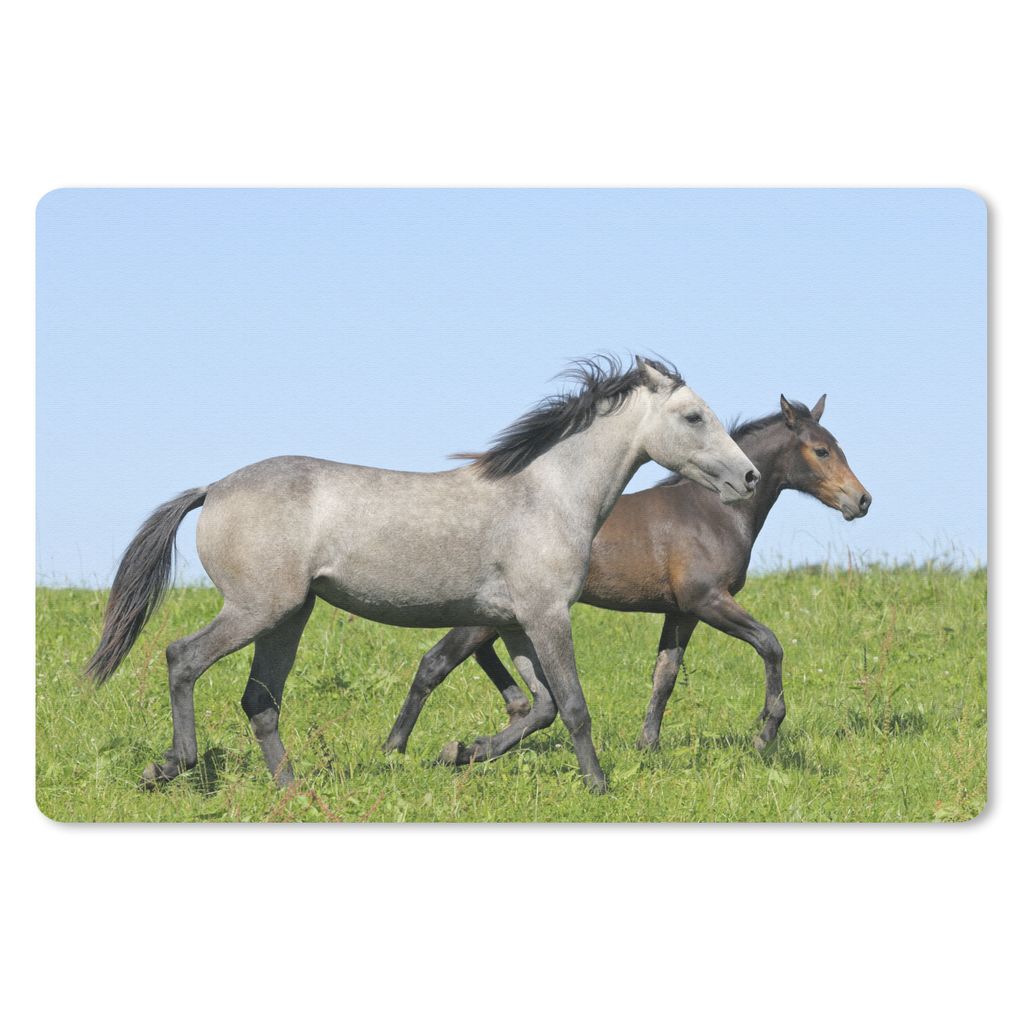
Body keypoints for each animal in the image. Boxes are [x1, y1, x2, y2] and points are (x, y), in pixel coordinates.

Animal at [86, 356, 759, 794]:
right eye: (694, 416)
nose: (749, 477)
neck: (545, 495)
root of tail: (214, 489)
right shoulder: (547, 616)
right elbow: (572, 704)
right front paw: (598, 788)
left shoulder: (514, 623)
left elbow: (538, 708)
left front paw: (459, 752)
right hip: (257, 610)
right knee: (183, 658)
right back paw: (171, 767)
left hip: (289, 617)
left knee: (259, 701)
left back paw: (293, 790)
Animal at [384, 394, 870, 764]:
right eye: (821, 451)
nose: (861, 500)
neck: (712, 512)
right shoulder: (708, 600)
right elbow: (770, 644)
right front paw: (766, 732)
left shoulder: (681, 612)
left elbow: (665, 675)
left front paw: (647, 746)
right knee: (436, 661)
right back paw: (409, 748)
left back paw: (501, 721)